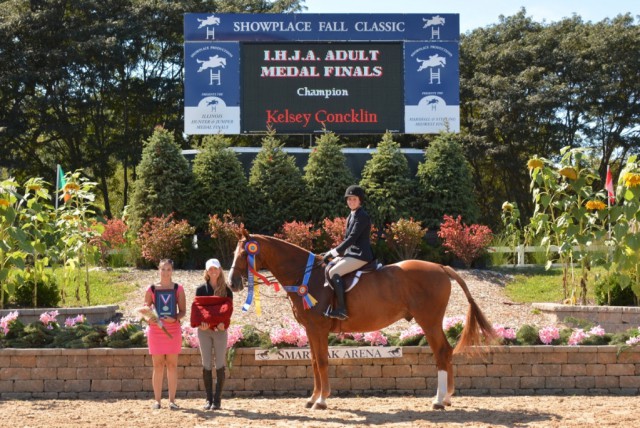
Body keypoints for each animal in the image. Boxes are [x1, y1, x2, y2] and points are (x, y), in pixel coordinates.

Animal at [230, 232, 496, 410]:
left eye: (244, 253)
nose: (232, 283)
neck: (304, 276)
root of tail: (441, 267)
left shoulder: (318, 329)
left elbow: (322, 362)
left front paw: (322, 401)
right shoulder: (310, 330)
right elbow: (314, 362)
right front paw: (312, 398)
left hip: (428, 321)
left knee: (441, 352)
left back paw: (439, 401)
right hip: (432, 322)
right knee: (447, 351)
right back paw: (447, 397)